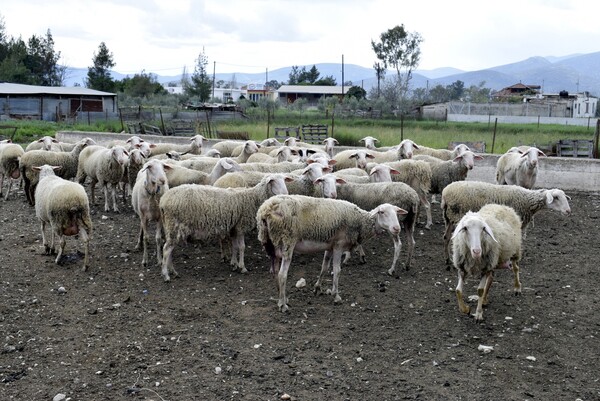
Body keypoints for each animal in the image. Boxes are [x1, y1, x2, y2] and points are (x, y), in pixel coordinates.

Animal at [158, 173, 292, 280]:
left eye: (284, 180)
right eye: (273, 181)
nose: (286, 193)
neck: (252, 198)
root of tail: (163, 201)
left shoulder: (234, 227)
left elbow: (234, 246)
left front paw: (234, 264)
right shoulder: (241, 226)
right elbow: (242, 247)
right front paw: (242, 267)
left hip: (169, 226)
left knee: (169, 249)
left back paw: (173, 272)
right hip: (174, 225)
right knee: (166, 249)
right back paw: (166, 275)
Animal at [255, 194, 406, 312]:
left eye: (396, 213)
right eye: (382, 212)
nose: (396, 228)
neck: (360, 222)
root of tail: (265, 209)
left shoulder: (330, 246)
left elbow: (324, 267)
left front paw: (317, 288)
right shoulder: (339, 245)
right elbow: (337, 270)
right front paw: (336, 295)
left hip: (271, 245)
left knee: (275, 272)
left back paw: (282, 299)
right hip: (287, 241)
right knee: (282, 275)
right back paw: (283, 305)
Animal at [440, 181, 572, 266]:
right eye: (556, 197)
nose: (568, 211)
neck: (527, 202)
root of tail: (445, 193)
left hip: (448, 217)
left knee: (446, 237)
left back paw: (447, 260)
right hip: (457, 215)